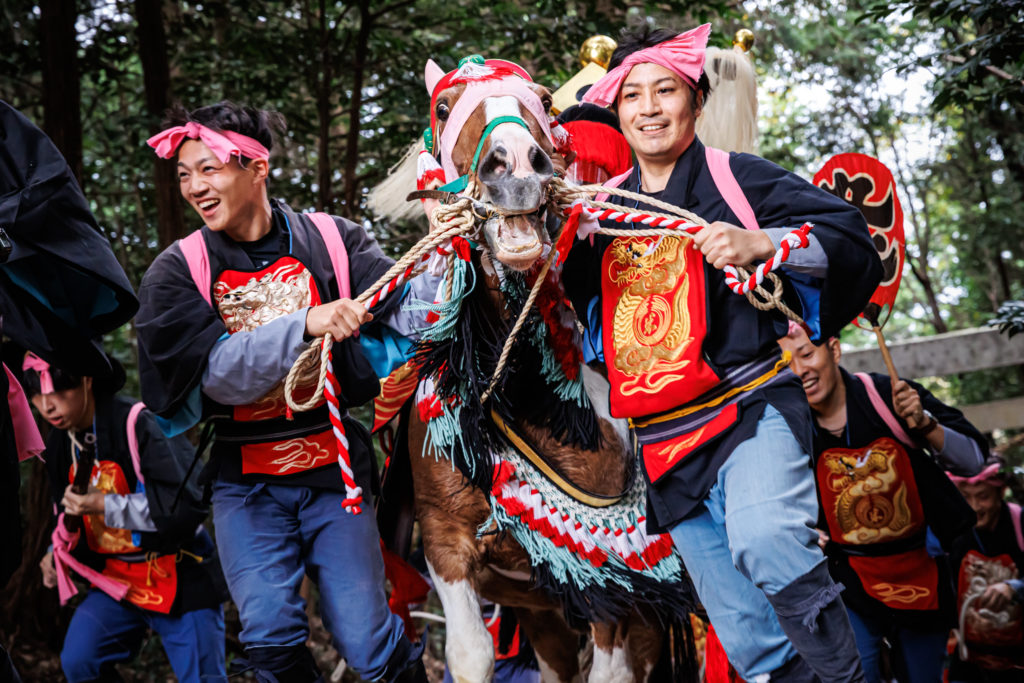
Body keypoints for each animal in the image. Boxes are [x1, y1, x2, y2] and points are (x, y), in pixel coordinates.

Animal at [370, 54, 696, 683]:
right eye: (443, 107)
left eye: (543, 101)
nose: (516, 165)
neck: (517, 396)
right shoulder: (447, 545)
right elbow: (470, 654)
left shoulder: (615, 580)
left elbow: (611, 670)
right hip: (540, 612)